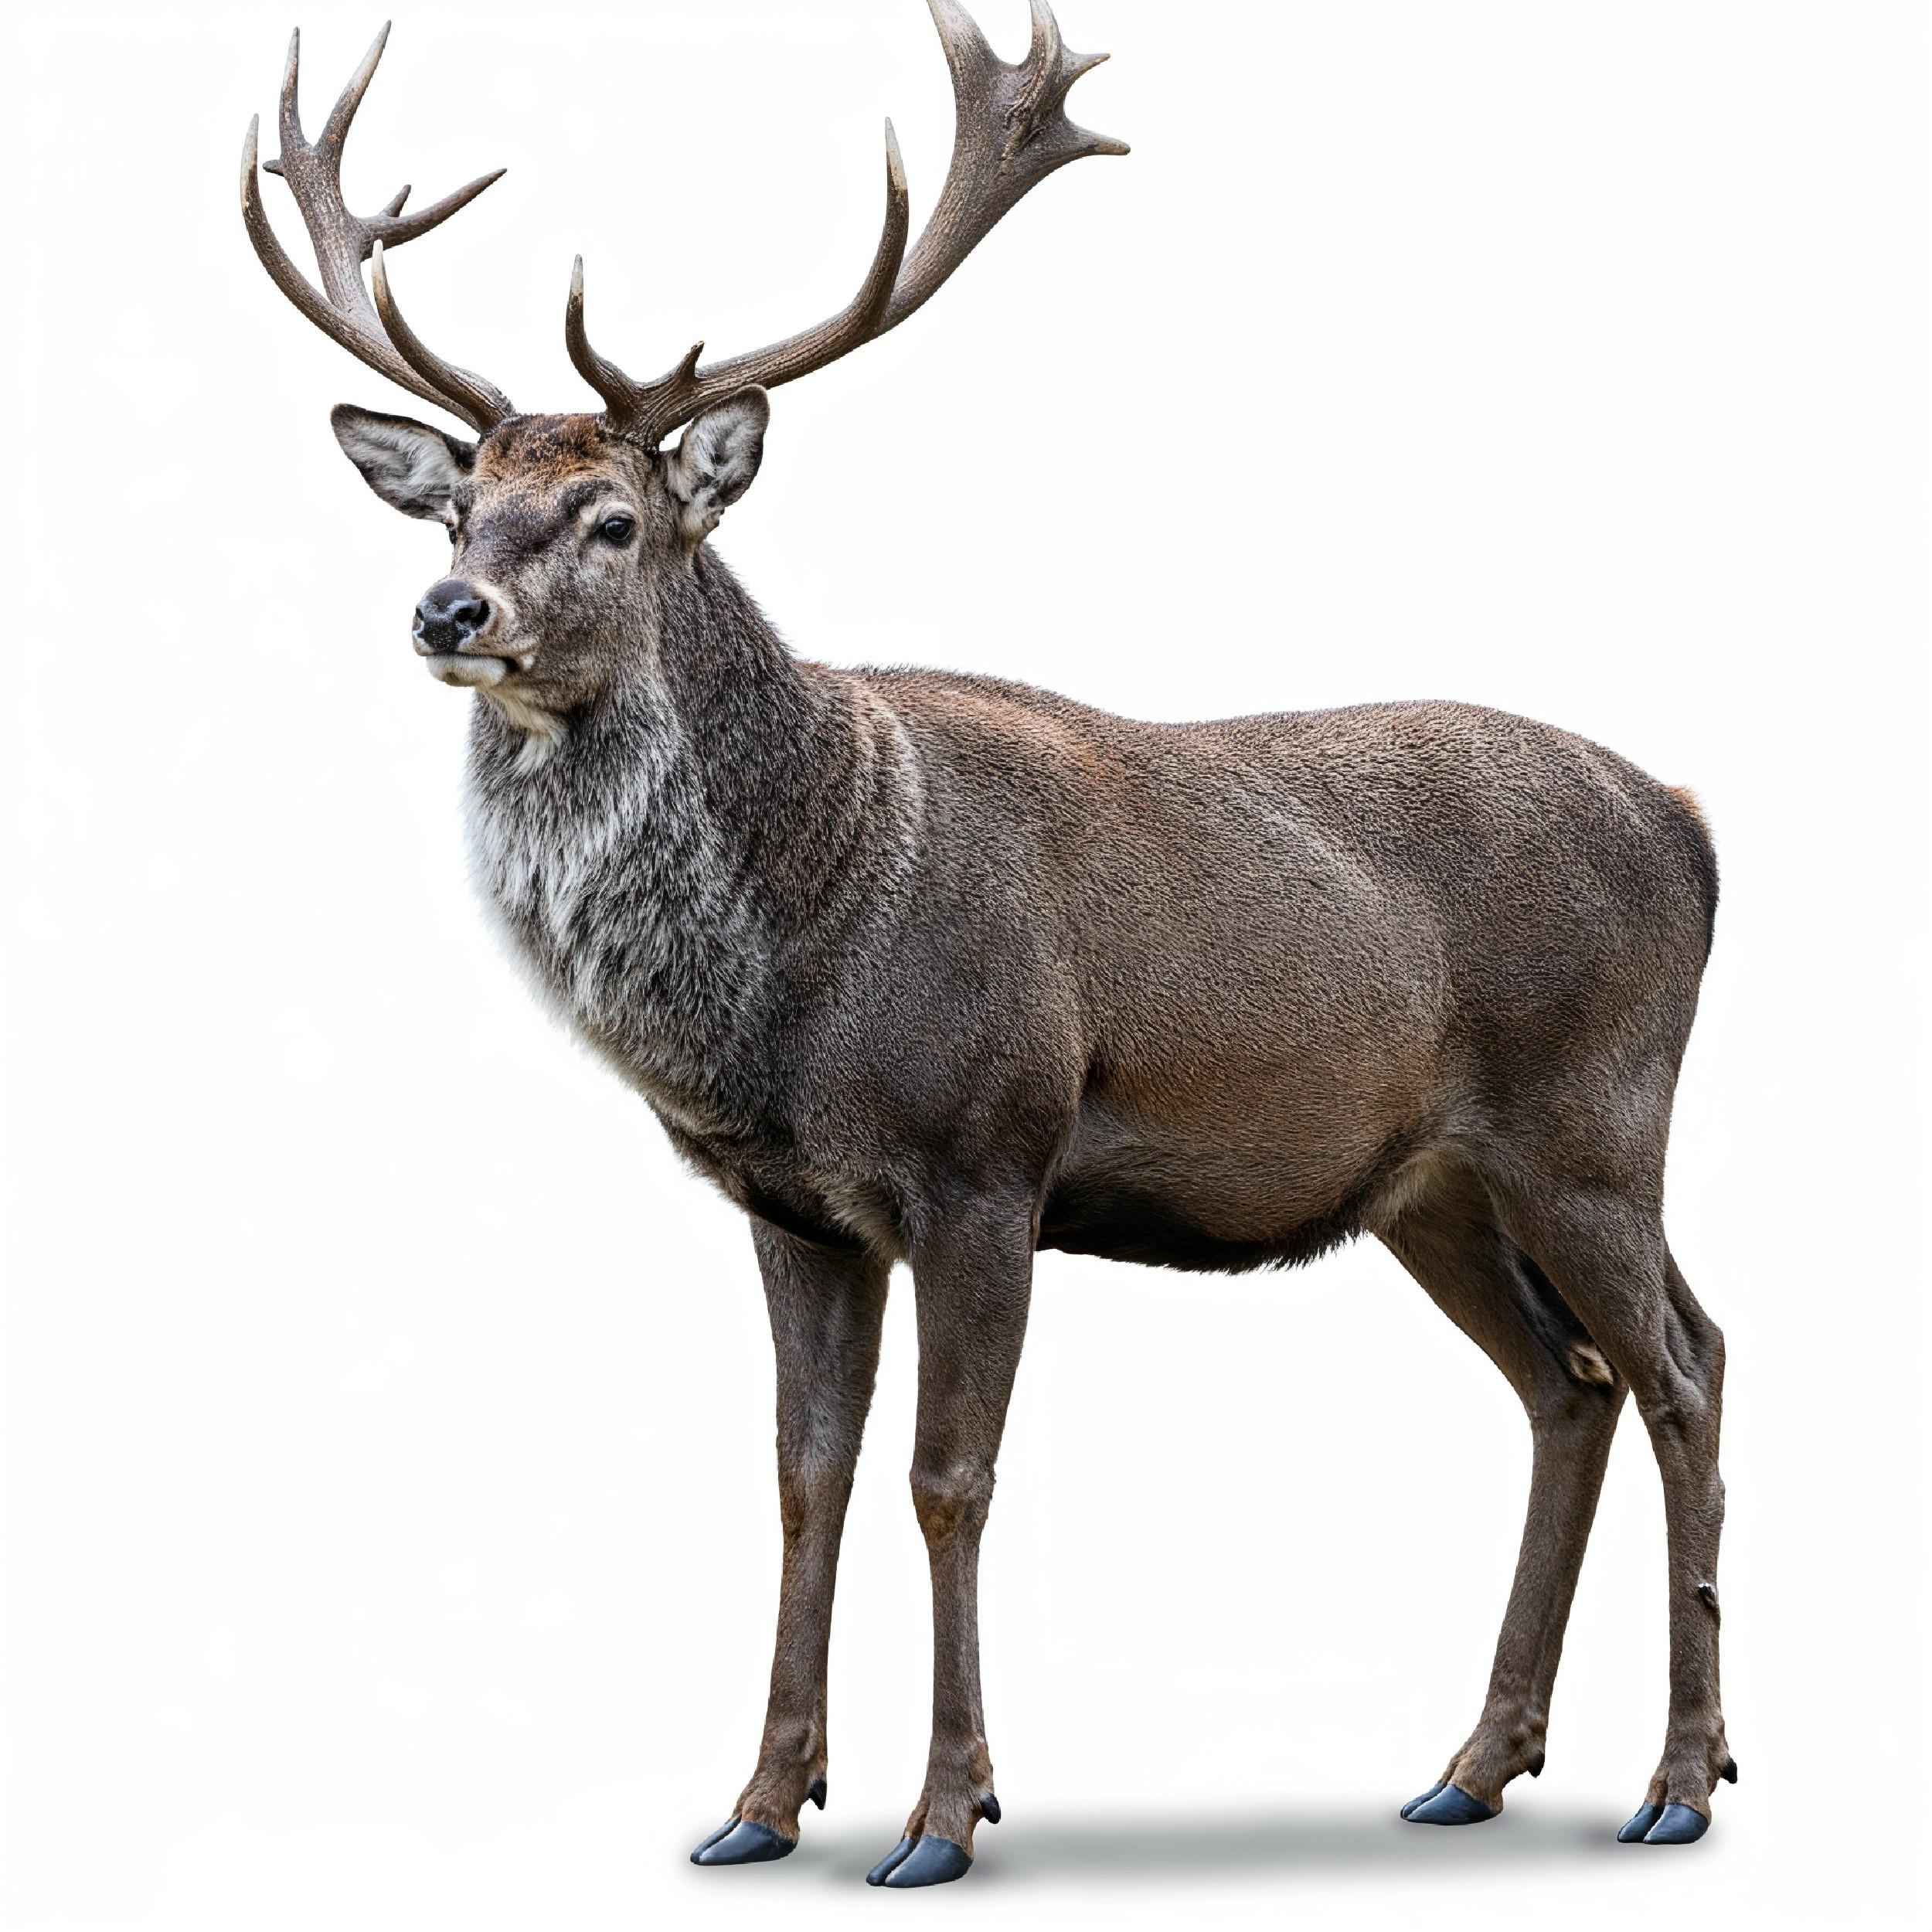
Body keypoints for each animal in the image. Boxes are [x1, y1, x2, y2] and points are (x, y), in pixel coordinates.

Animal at [240, 1, 1734, 1889]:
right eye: (454, 510)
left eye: (613, 520)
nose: (449, 612)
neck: (788, 985)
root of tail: (1693, 824)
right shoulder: (792, 1204)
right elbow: (802, 1477)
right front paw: (758, 1803)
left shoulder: (984, 1155)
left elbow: (947, 1478)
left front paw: (943, 1815)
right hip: (1435, 1186)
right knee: (1571, 1384)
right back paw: (1473, 1762)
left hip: (1590, 1122)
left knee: (1684, 1365)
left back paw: (1678, 1777)